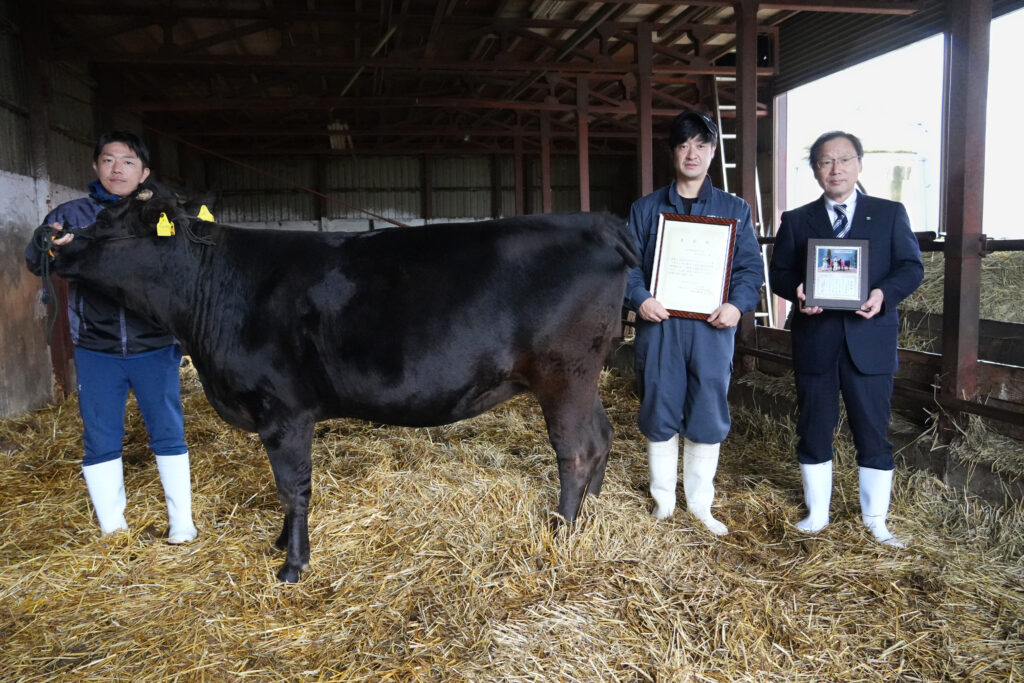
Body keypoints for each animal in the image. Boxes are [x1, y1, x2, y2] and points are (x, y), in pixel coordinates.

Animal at [54, 183, 638, 581]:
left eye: (111, 222)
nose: (55, 243)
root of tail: (595, 223)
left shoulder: (283, 411)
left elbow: (292, 487)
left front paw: (293, 565)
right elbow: (287, 489)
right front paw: (279, 544)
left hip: (564, 374)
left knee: (576, 450)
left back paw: (561, 530)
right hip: (585, 376)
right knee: (602, 436)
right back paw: (591, 511)